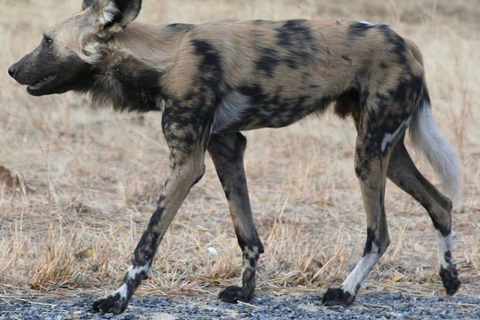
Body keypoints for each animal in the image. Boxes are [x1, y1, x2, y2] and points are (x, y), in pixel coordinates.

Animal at [9, 0, 462, 316]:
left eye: (47, 41)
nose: (12, 69)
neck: (164, 59)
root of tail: (408, 43)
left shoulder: (187, 163)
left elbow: (146, 244)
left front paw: (117, 300)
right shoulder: (226, 148)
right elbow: (248, 235)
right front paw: (246, 292)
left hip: (369, 153)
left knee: (379, 234)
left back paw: (345, 292)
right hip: (386, 151)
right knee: (441, 202)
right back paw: (450, 278)